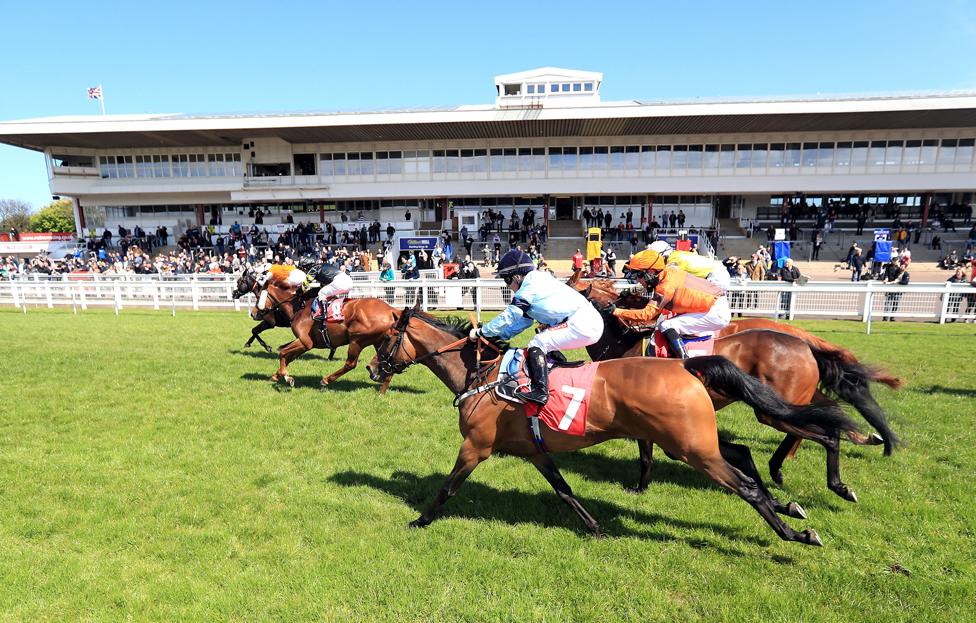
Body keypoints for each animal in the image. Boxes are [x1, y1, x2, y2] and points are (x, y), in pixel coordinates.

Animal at [255, 278, 396, 390]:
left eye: (258, 296)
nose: (254, 313)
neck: (299, 306)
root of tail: (390, 310)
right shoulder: (305, 344)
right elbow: (288, 356)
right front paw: (277, 375)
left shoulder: (305, 341)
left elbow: (282, 352)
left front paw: (287, 377)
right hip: (381, 342)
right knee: (388, 364)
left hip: (357, 340)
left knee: (350, 364)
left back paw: (326, 380)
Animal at [572, 278, 900, 502]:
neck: (624, 341)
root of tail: (804, 343)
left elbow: (646, 453)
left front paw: (639, 488)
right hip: (791, 398)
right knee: (828, 415)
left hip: (774, 407)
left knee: (820, 428)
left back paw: (827, 478)